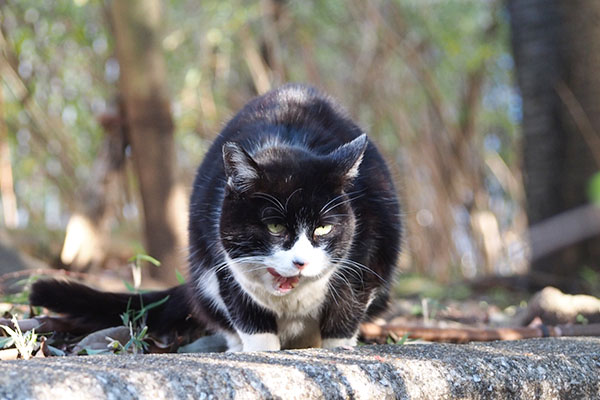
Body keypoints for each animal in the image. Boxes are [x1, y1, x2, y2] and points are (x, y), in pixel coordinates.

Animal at [30, 83, 400, 350]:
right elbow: (249, 319)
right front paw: (260, 354)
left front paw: (336, 352)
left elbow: (345, 315)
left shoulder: (366, 252)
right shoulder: (221, 257)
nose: (301, 262)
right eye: (275, 225)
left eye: (323, 228)